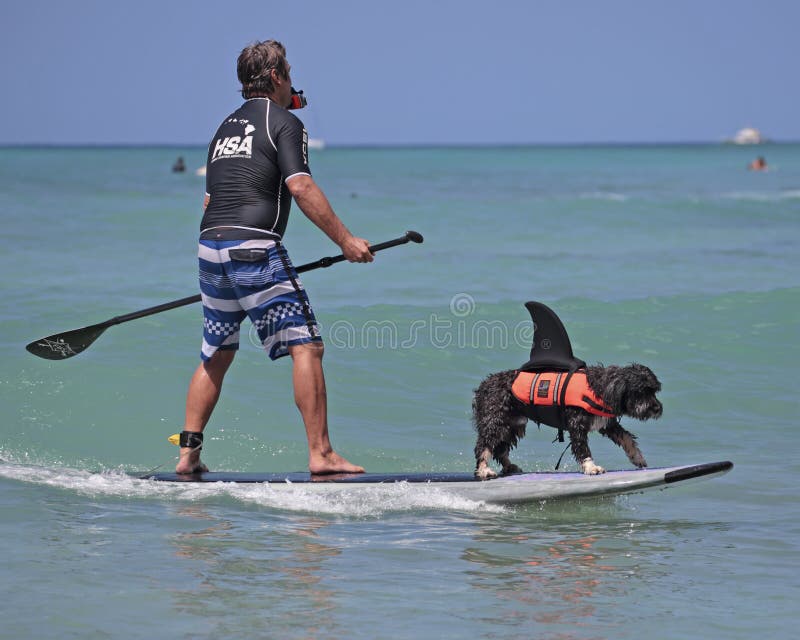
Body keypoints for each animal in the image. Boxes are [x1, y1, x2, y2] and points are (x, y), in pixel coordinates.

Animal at [472, 362, 664, 478]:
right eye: (641, 392)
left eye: (654, 391)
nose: (657, 408)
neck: (600, 388)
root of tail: (482, 387)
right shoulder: (577, 424)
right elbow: (582, 448)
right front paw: (591, 467)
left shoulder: (606, 422)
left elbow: (627, 438)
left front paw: (637, 457)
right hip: (495, 420)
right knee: (484, 445)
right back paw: (484, 469)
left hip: (514, 424)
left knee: (500, 448)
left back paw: (509, 466)